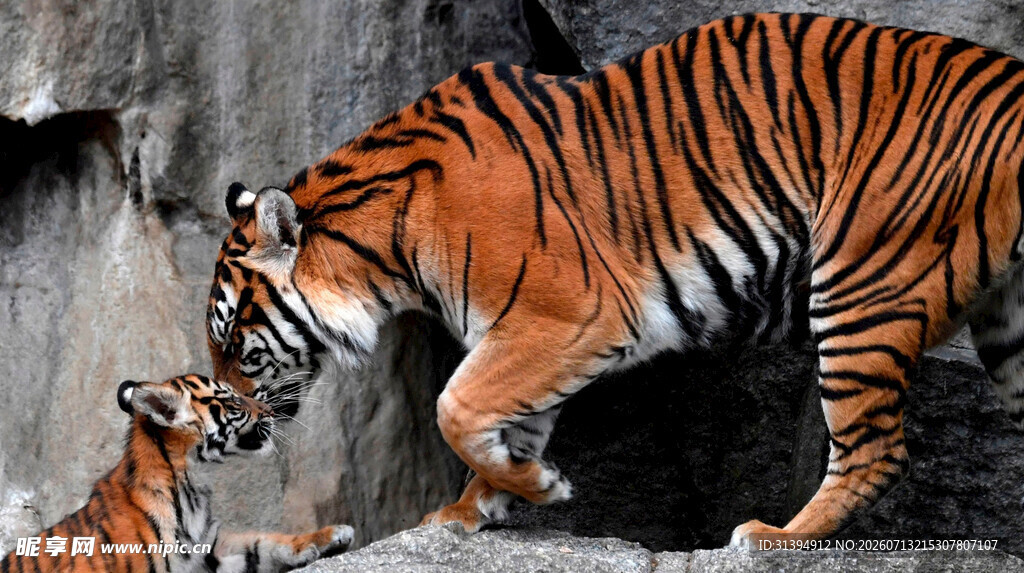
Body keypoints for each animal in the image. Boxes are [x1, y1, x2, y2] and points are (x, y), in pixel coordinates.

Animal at [0, 374, 354, 572]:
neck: (192, 491)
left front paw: (332, 534)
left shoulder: (210, 552)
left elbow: (262, 543)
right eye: (233, 401)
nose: (270, 411)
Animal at [205, 12, 1024, 548]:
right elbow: (503, 425)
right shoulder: (530, 331)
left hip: (861, 285)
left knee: (877, 449)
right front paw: (477, 507)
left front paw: (540, 488)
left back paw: (773, 537)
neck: (382, 253)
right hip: (1006, 329)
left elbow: (457, 408)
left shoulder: (568, 313)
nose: (234, 420)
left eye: (233, 339)